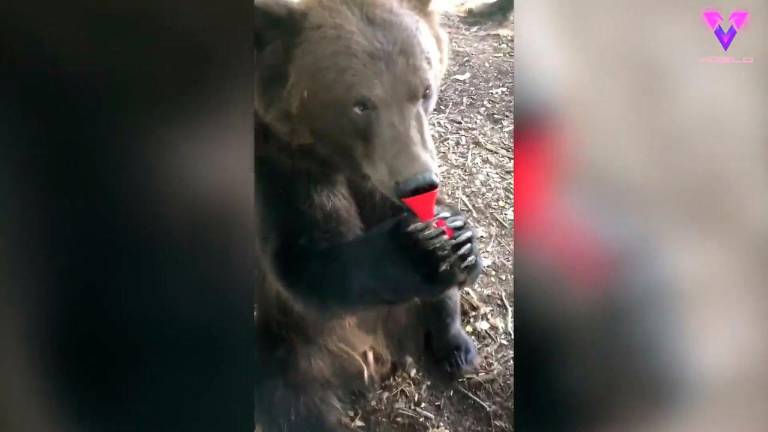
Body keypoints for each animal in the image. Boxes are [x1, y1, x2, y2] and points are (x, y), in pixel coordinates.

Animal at [252, 0, 480, 428]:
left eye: (424, 90)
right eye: (361, 103)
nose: (419, 183)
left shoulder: (383, 171)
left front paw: (459, 239)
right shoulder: (280, 166)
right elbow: (306, 259)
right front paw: (419, 250)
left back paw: (456, 348)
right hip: (291, 344)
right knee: (293, 396)